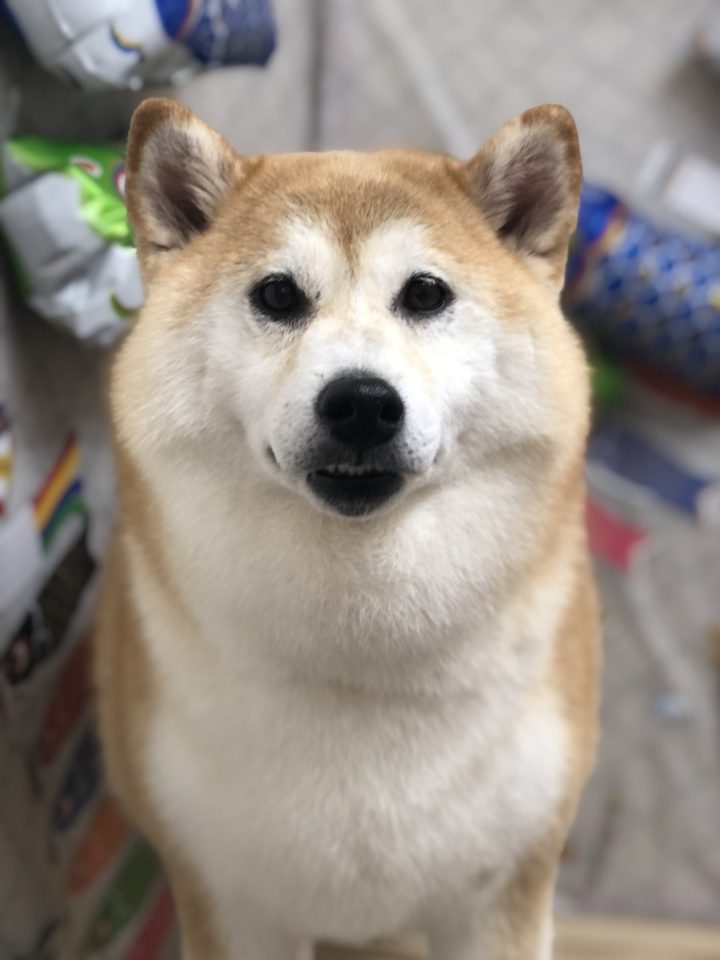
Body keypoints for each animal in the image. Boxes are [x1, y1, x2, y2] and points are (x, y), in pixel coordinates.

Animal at [95, 97, 600, 960]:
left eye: (425, 293)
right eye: (277, 296)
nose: (361, 401)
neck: (362, 653)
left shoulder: (503, 891)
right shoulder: (232, 898)